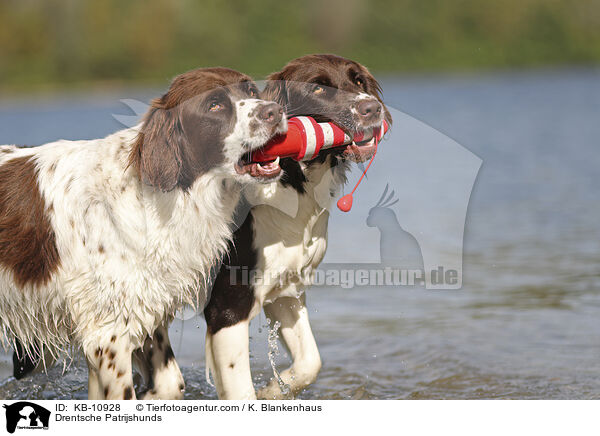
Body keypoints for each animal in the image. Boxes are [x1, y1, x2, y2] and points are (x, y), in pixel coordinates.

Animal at [0, 67, 286, 398]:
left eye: (252, 90)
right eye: (214, 105)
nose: (275, 111)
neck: (155, 195)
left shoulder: (144, 310)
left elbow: (170, 382)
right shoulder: (107, 335)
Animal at [204, 54, 394, 398]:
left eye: (358, 81)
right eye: (318, 88)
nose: (372, 108)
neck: (293, 183)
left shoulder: (286, 290)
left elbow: (310, 362)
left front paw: (272, 391)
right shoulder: (227, 305)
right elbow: (240, 389)